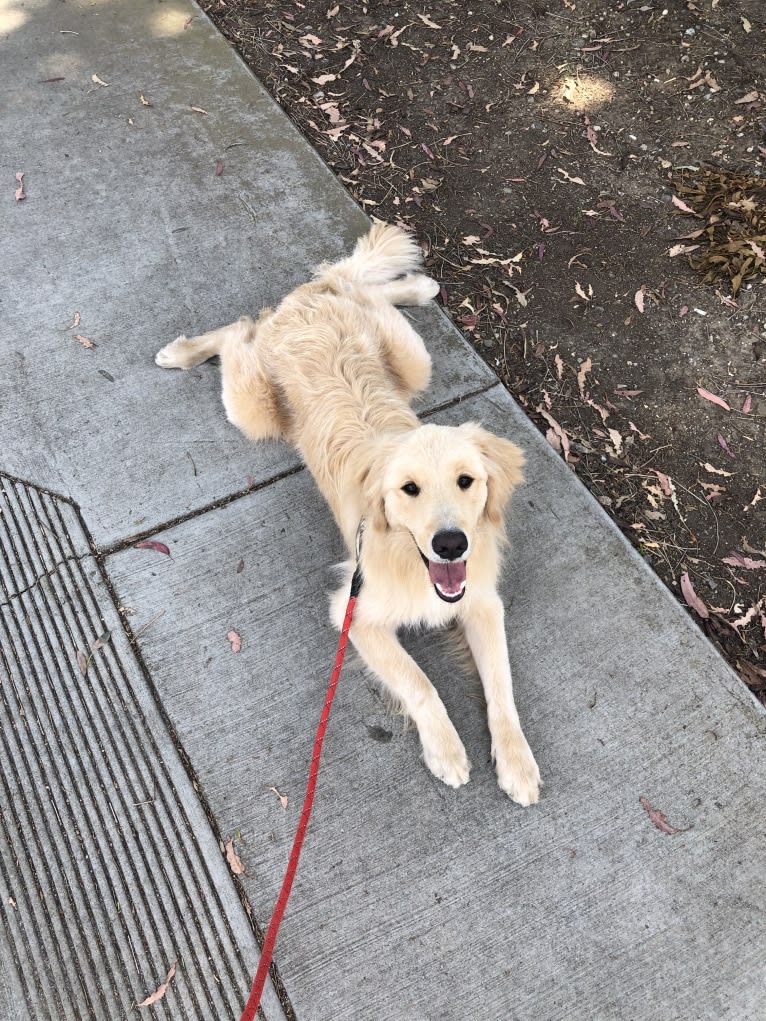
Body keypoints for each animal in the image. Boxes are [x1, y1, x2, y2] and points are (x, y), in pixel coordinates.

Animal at [154, 223, 539, 804]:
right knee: (243, 327)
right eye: (408, 489)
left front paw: (517, 761)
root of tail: (305, 305)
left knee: (354, 285)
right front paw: (446, 750)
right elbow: (420, 684)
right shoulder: (353, 613)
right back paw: (182, 350)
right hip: (253, 410)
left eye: (466, 481)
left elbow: (503, 687)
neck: (408, 559)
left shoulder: (481, 604)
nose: (452, 544)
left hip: (411, 358)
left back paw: (415, 287)